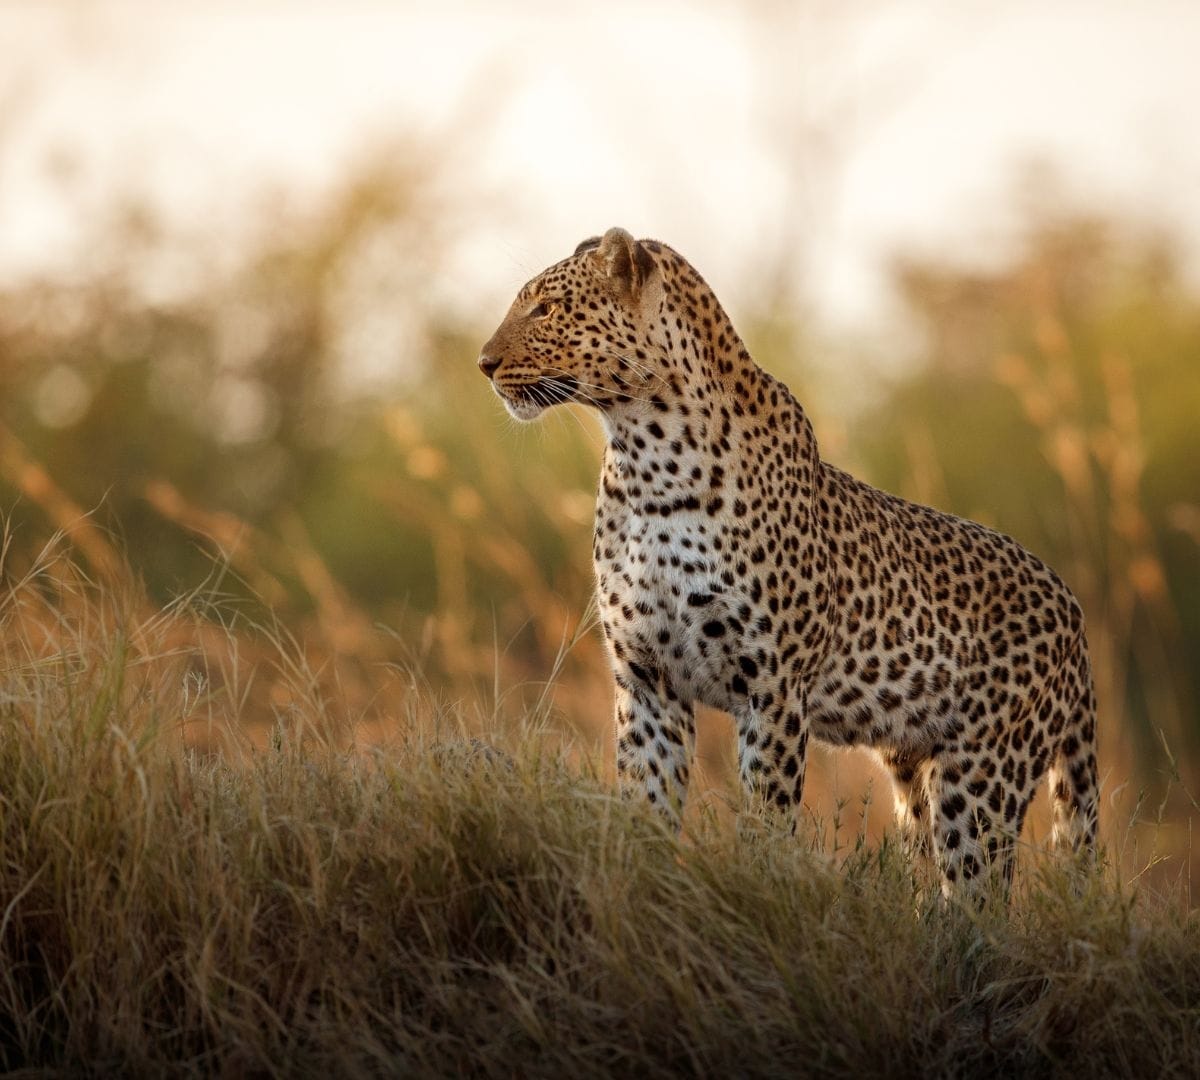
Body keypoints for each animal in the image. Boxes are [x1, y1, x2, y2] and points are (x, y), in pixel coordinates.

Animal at [478, 227, 1099, 896]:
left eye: (546, 309)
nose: (484, 363)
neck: (645, 457)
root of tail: (1072, 609)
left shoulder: (771, 687)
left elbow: (766, 819)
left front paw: (756, 888)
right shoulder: (647, 679)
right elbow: (645, 808)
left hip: (984, 775)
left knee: (979, 894)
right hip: (914, 771)